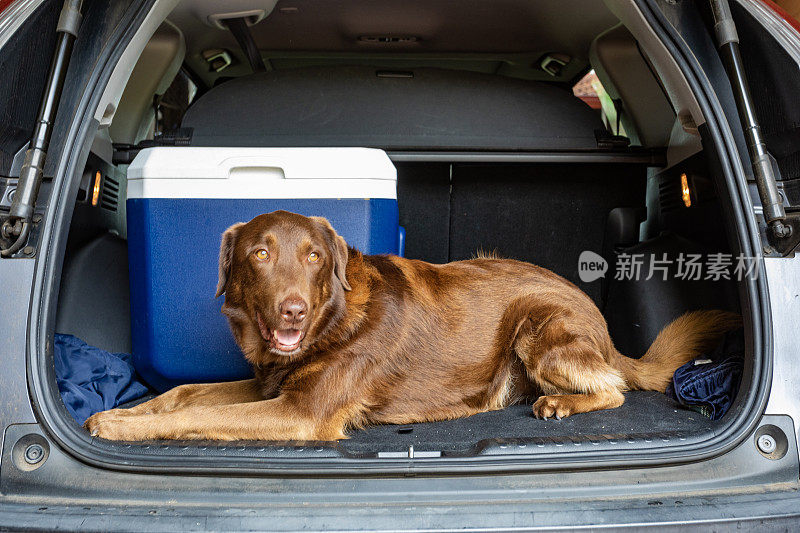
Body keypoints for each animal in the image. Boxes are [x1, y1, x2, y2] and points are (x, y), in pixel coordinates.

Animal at [84, 210, 740, 438]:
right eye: (260, 254)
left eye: (314, 257)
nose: (293, 310)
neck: (331, 320)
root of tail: (597, 319)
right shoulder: (269, 385)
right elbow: (184, 394)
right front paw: (125, 411)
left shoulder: (302, 412)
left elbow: (193, 415)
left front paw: (119, 426)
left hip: (541, 328)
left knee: (615, 386)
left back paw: (561, 403)